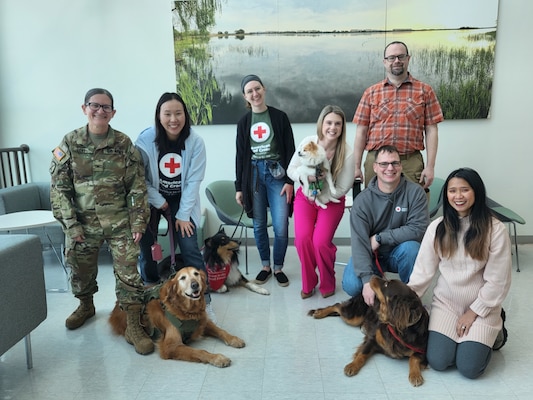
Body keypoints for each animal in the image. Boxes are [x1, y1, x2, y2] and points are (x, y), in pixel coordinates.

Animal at [108, 268, 245, 368]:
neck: (187, 311)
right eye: (182, 278)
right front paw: (217, 358)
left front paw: (234, 339)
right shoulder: (170, 346)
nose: (195, 285)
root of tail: (117, 304)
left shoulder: (203, 322)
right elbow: (199, 351)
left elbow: (221, 330)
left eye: (196, 274)